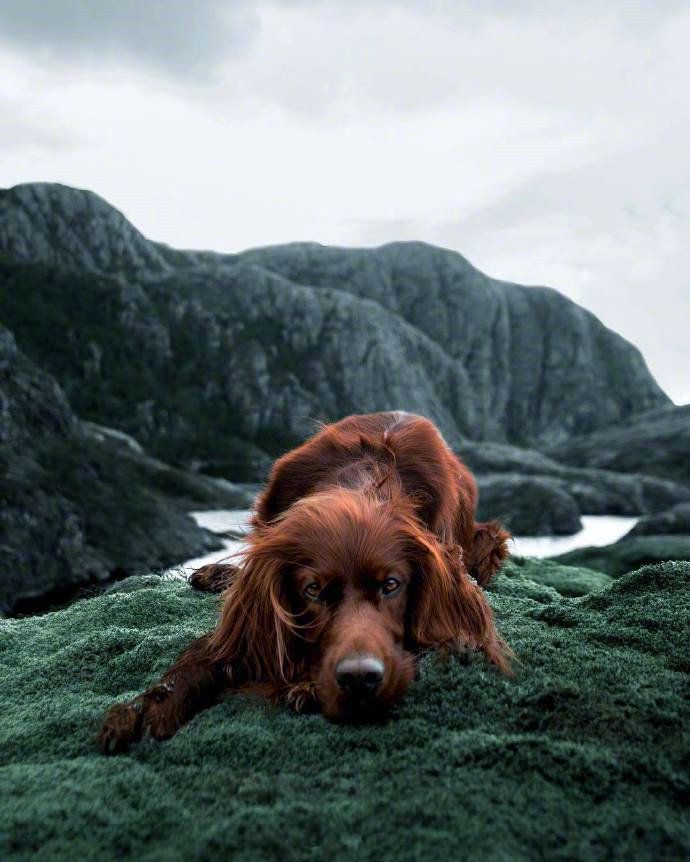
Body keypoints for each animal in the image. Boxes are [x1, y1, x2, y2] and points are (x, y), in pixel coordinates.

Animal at [97, 408, 508, 752]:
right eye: (313, 590)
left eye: (391, 585)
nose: (360, 680)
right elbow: (208, 651)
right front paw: (148, 704)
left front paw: (307, 686)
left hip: (487, 543)